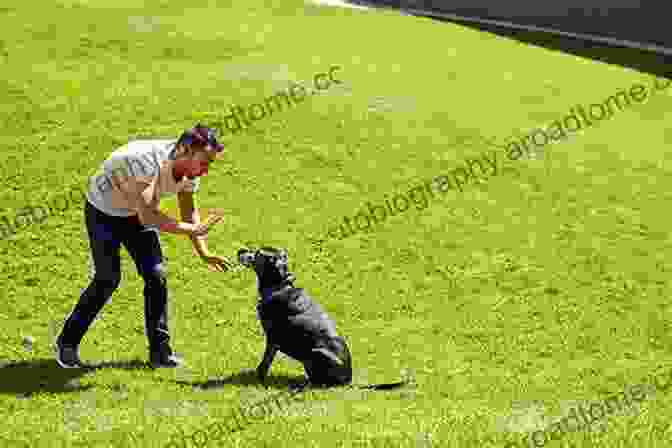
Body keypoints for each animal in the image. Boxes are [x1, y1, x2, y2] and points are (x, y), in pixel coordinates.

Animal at [236, 247, 352, 386]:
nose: (240, 250)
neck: (279, 288)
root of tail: (348, 380)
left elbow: (265, 362)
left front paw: (259, 379)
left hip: (316, 353)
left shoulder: (273, 338)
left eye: (258, 253)